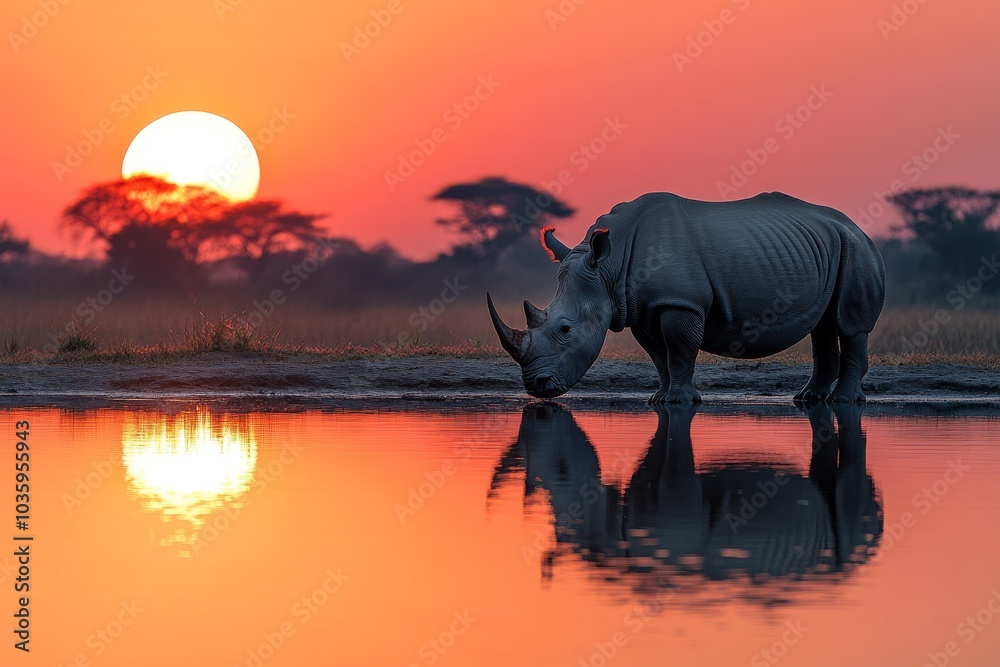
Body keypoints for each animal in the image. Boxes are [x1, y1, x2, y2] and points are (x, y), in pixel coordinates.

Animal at [487, 192, 886, 403]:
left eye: (565, 330)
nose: (535, 387)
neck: (608, 268)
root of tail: (858, 227)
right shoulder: (643, 308)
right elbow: (658, 355)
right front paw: (658, 399)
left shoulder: (679, 301)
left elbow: (679, 348)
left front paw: (679, 401)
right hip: (829, 248)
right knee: (823, 325)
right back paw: (808, 399)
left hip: (856, 249)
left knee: (851, 325)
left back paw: (843, 401)